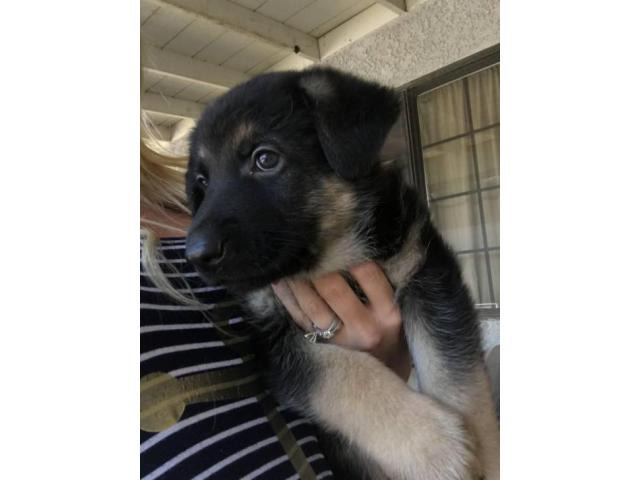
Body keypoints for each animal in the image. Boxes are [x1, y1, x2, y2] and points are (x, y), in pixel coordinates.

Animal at [185, 67, 500, 480]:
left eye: (265, 158)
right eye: (202, 182)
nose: (196, 255)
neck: (334, 258)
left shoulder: (427, 273)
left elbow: (459, 375)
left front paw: (487, 456)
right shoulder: (272, 345)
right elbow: (343, 372)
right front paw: (436, 447)